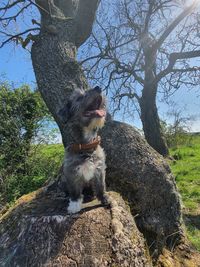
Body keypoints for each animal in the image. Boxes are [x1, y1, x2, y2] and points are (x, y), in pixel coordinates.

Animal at [58, 87, 107, 215]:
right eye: (79, 98)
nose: (98, 87)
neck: (86, 145)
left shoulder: (99, 169)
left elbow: (101, 186)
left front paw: (104, 199)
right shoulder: (72, 171)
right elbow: (75, 190)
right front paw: (74, 205)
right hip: (63, 180)